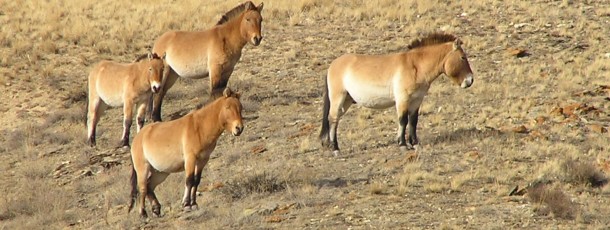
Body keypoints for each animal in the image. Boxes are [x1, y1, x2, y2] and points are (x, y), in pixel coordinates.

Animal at [127, 87, 242, 217]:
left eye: (240, 107)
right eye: (228, 107)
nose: (239, 128)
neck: (200, 127)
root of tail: (137, 138)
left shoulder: (202, 161)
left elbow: (196, 181)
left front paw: (194, 204)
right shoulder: (190, 159)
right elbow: (189, 180)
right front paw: (186, 204)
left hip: (160, 172)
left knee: (149, 186)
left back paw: (156, 209)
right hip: (143, 168)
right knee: (142, 188)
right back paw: (143, 213)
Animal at [318, 33, 476, 154]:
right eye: (463, 57)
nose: (470, 80)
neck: (415, 66)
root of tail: (333, 65)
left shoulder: (416, 101)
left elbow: (413, 121)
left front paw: (415, 143)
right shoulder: (402, 100)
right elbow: (403, 120)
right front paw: (403, 145)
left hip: (347, 101)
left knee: (335, 120)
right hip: (338, 98)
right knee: (333, 119)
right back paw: (335, 148)